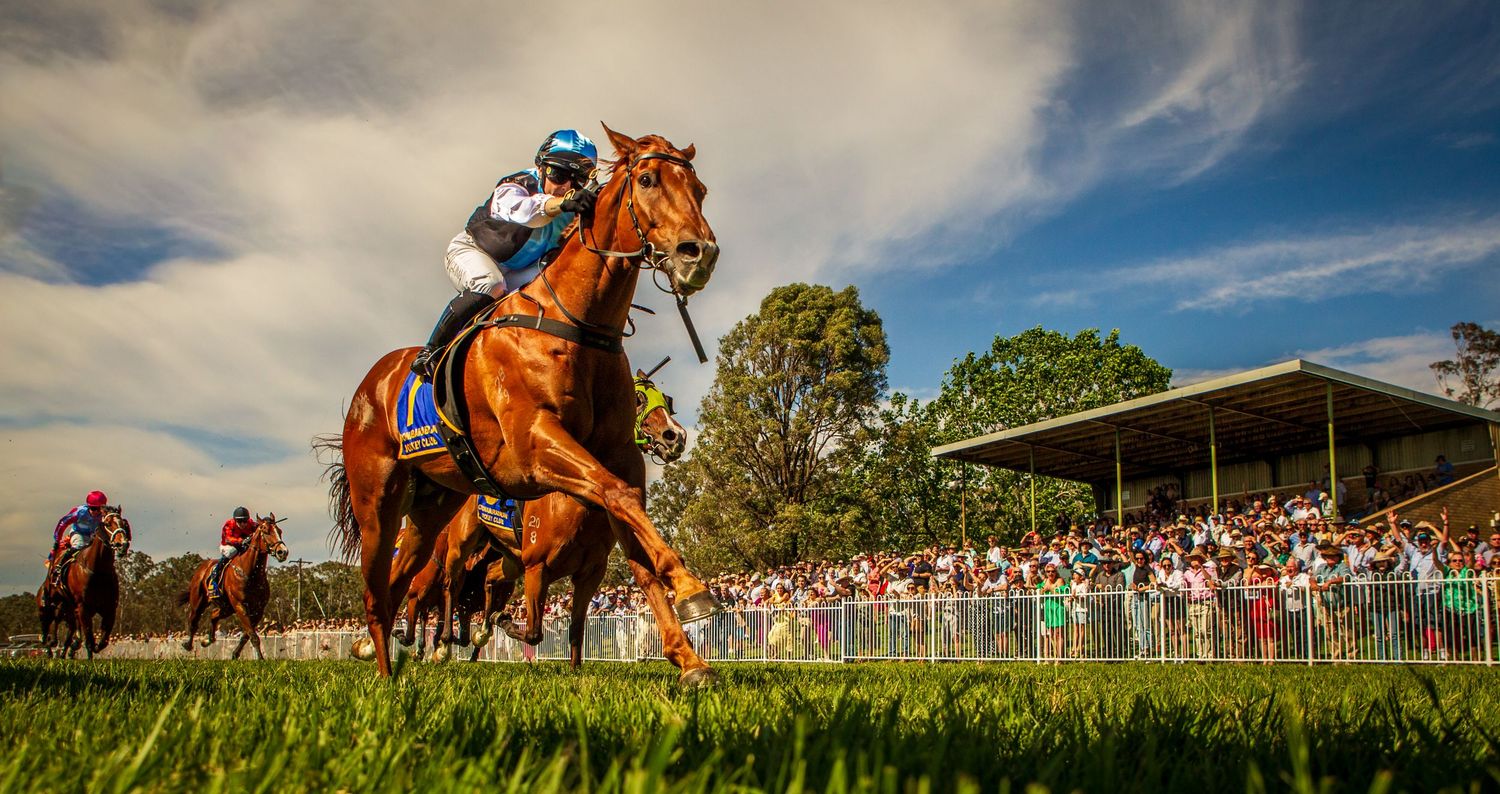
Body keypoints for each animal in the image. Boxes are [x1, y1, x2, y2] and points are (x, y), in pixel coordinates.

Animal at [37, 507, 132, 658]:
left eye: (124, 523)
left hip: (67, 610)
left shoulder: (110, 608)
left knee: (63, 624)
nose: (122, 544)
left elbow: (102, 641)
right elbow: (89, 638)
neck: (98, 570)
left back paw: (60, 649)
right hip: (47, 602)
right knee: (46, 621)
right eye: (107, 523)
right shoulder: (83, 607)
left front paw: (78, 647)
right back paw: (48, 644)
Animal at [178, 515, 289, 659]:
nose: (283, 552)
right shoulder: (240, 605)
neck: (250, 573)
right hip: (198, 601)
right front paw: (260, 658)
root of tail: (202, 567)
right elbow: (253, 636)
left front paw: (235, 654)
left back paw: (207, 640)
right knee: (193, 620)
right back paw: (188, 644)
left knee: (214, 615)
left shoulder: (258, 610)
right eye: (266, 531)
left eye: (279, 531)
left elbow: (247, 635)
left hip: (226, 607)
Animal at [320, 124, 721, 684]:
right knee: (380, 589)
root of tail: (371, 382)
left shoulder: (616, 456)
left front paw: (688, 657)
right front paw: (691, 588)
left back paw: (386, 656)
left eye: (700, 190)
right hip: (377, 498)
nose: (698, 253)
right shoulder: (535, 443)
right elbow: (618, 496)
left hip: (433, 505)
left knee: (402, 581)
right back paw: (387, 672)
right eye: (647, 179)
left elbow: (635, 542)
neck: (575, 322)